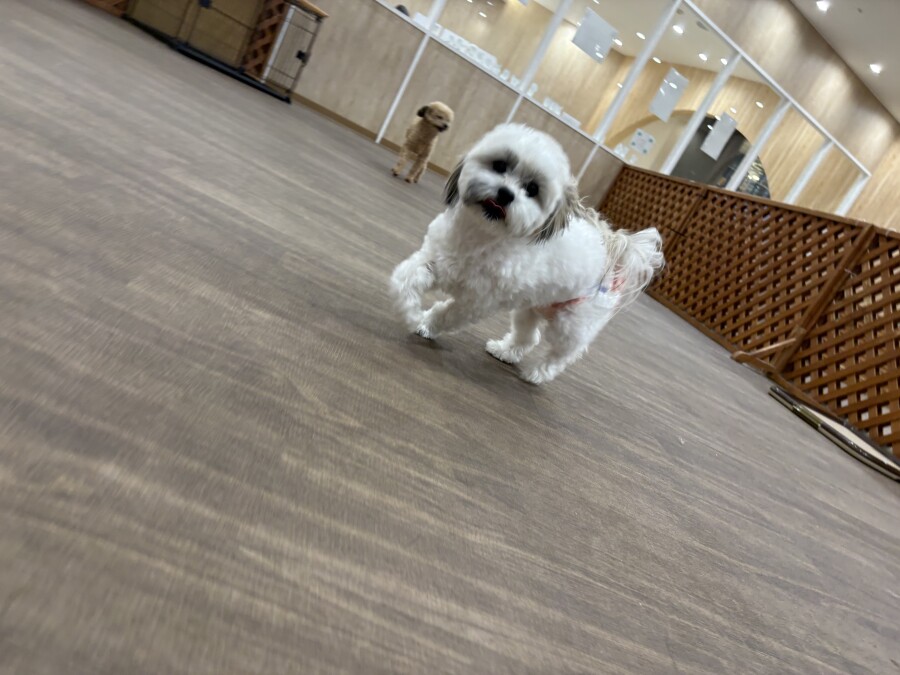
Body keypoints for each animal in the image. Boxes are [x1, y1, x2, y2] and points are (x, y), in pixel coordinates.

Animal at [390, 124, 664, 384]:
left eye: (532, 189)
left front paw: (426, 324)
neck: (480, 235)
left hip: (571, 324)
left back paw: (538, 374)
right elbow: (404, 281)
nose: (505, 193)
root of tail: (612, 250)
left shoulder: (477, 302)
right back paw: (504, 352)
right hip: (530, 306)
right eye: (500, 165)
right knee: (530, 337)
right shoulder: (434, 259)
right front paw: (411, 314)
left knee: (562, 354)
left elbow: (447, 314)